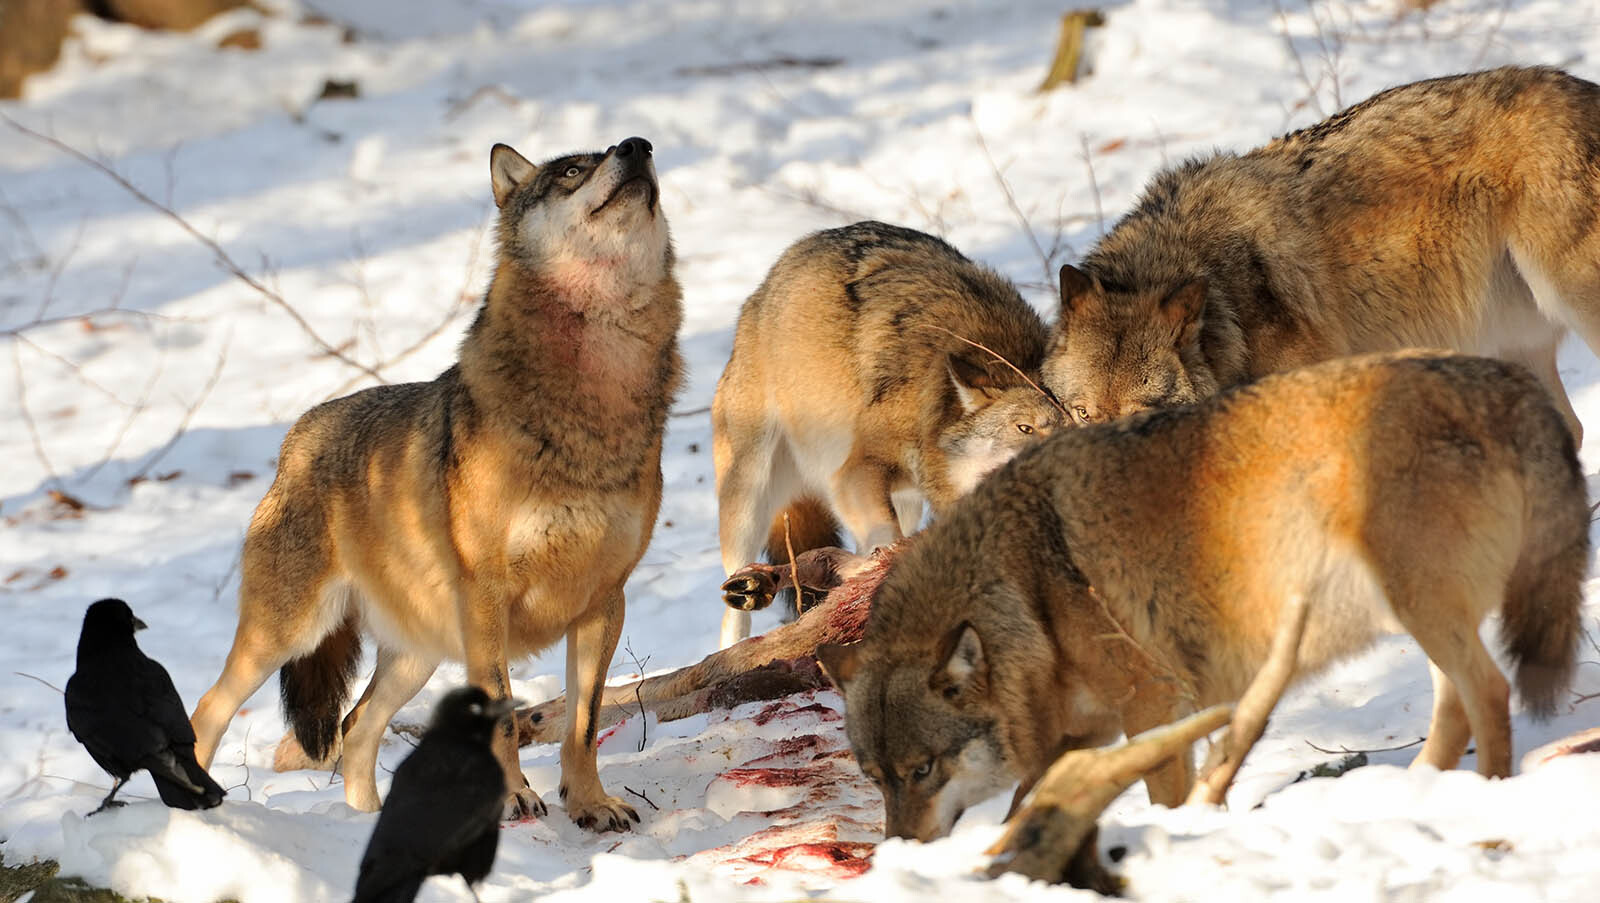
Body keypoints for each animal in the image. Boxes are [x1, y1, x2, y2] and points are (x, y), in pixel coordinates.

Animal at [188, 136, 682, 831]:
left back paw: (366, 825)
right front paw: (514, 799)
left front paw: (590, 804)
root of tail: (297, 434)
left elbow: (582, 724)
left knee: (356, 728)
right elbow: (505, 721)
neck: (594, 399)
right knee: (209, 708)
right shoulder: (487, 601)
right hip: (288, 635)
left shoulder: (604, 601)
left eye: (632, 152)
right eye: (571, 171)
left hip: (414, 658)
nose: (638, 147)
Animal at [713, 222, 1065, 648]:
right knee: (733, 611)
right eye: (1024, 428)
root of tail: (763, 287)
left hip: (904, 503)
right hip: (747, 497)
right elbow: (885, 536)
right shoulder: (855, 471)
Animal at [819, 352, 1587, 841]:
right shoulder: (1088, 733)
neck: (1024, 590)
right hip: (1419, 617)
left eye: (924, 769)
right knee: (1454, 708)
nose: (898, 849)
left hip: (1422, 609)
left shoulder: (1151, 707)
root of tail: (1503, 378)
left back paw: (1484, 800)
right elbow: (1026, 805)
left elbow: (1162, 796)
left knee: (1489, 692)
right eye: (875, 777)